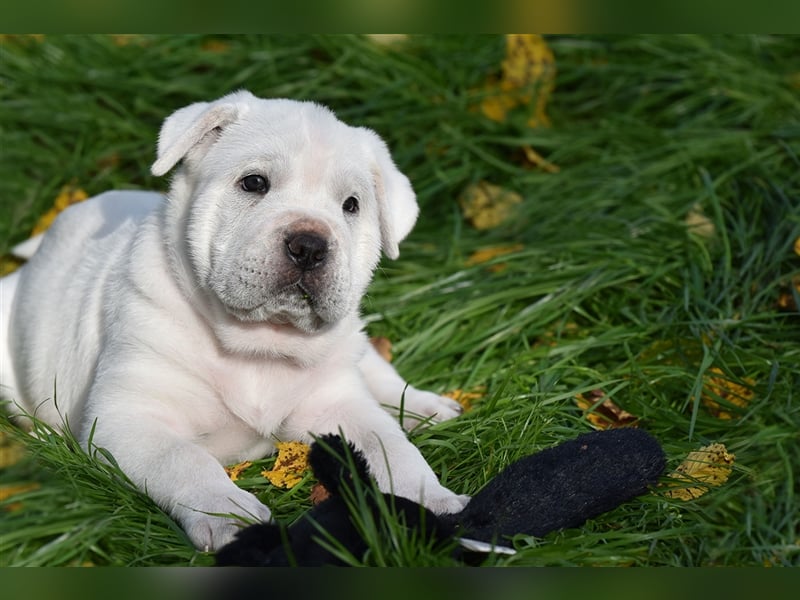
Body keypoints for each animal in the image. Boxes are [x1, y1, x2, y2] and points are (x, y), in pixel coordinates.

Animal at [0, 90, 466, 552]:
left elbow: (389, 445)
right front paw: (232, 517)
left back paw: (425, 406)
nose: (310, 245)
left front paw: (435, 500)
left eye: (351, 205)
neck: (261, 341)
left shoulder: (337, 404)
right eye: (254, 183)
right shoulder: (128, 420)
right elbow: (185, 460)